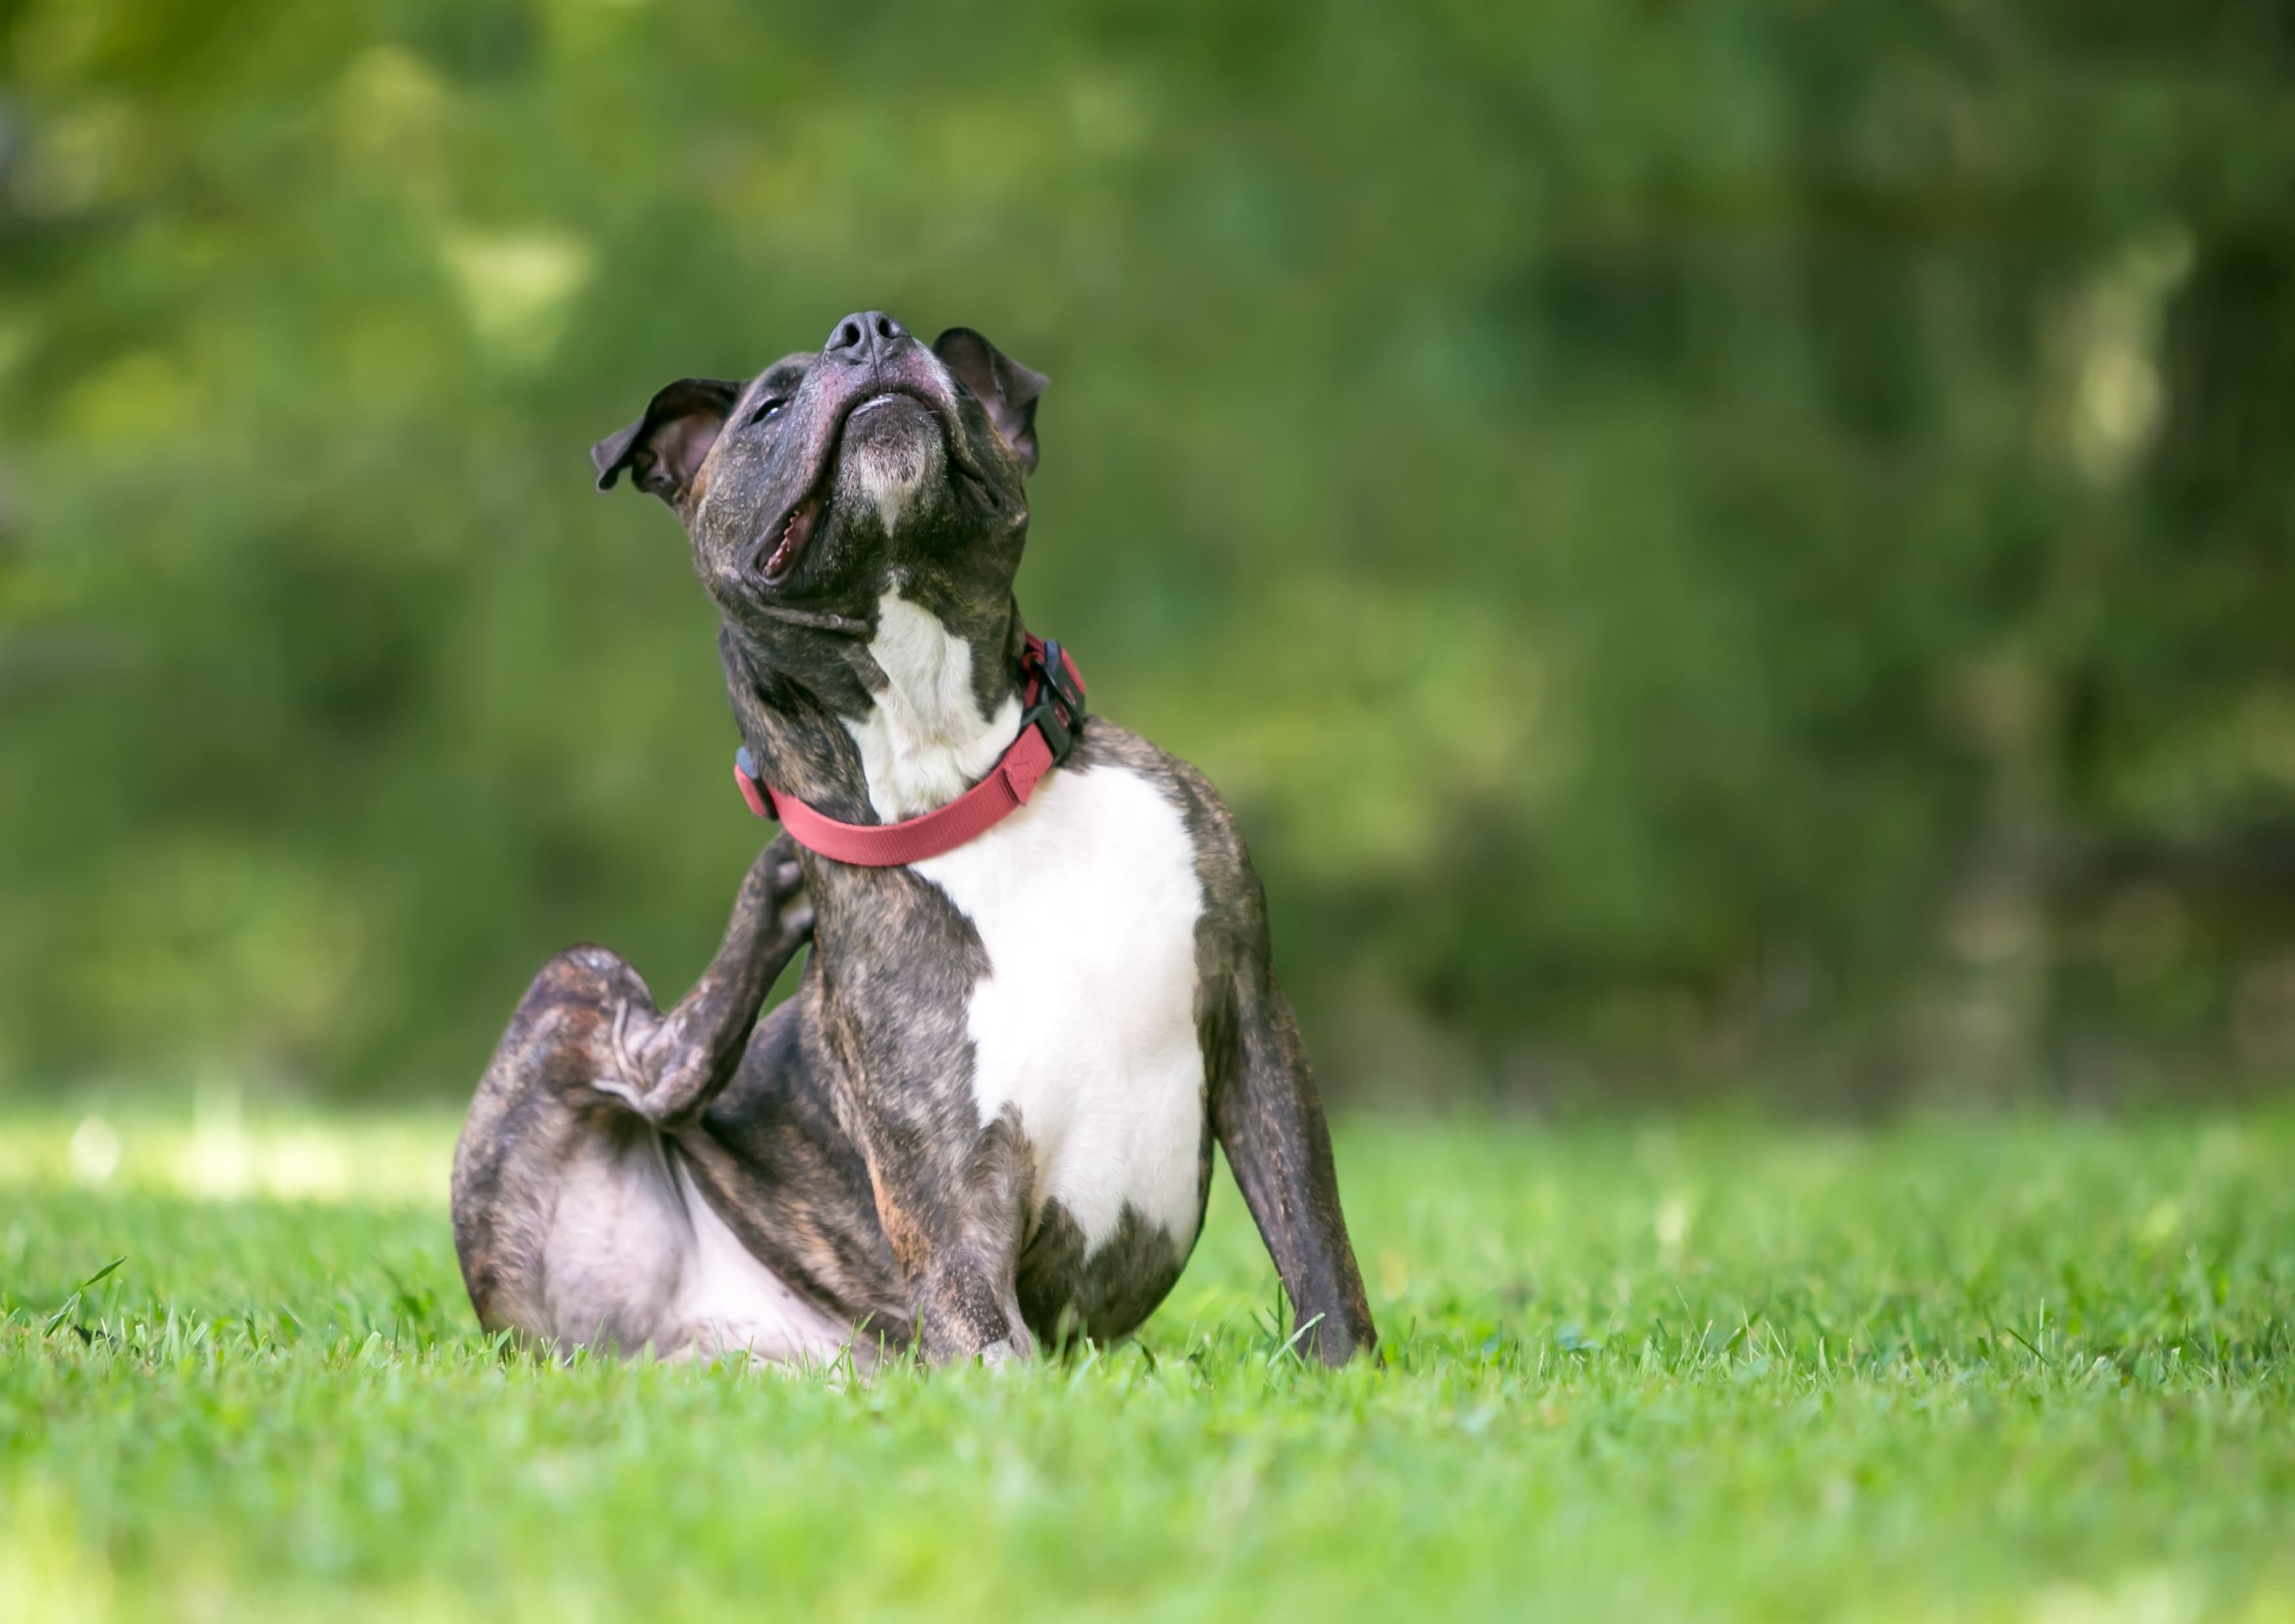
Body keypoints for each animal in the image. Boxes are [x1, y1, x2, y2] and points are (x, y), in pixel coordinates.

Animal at [456, 312, 1368, 1367]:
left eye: (960, 383)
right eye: (769, 406)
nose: (866, 328)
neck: (960, 784)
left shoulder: (1258, 1031)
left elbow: (1321, 1258)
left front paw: (1347, 1377)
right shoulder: (955, 1217)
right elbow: (1001, 1356)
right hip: (574, 987)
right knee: (657, 1066)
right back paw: (776, 894)